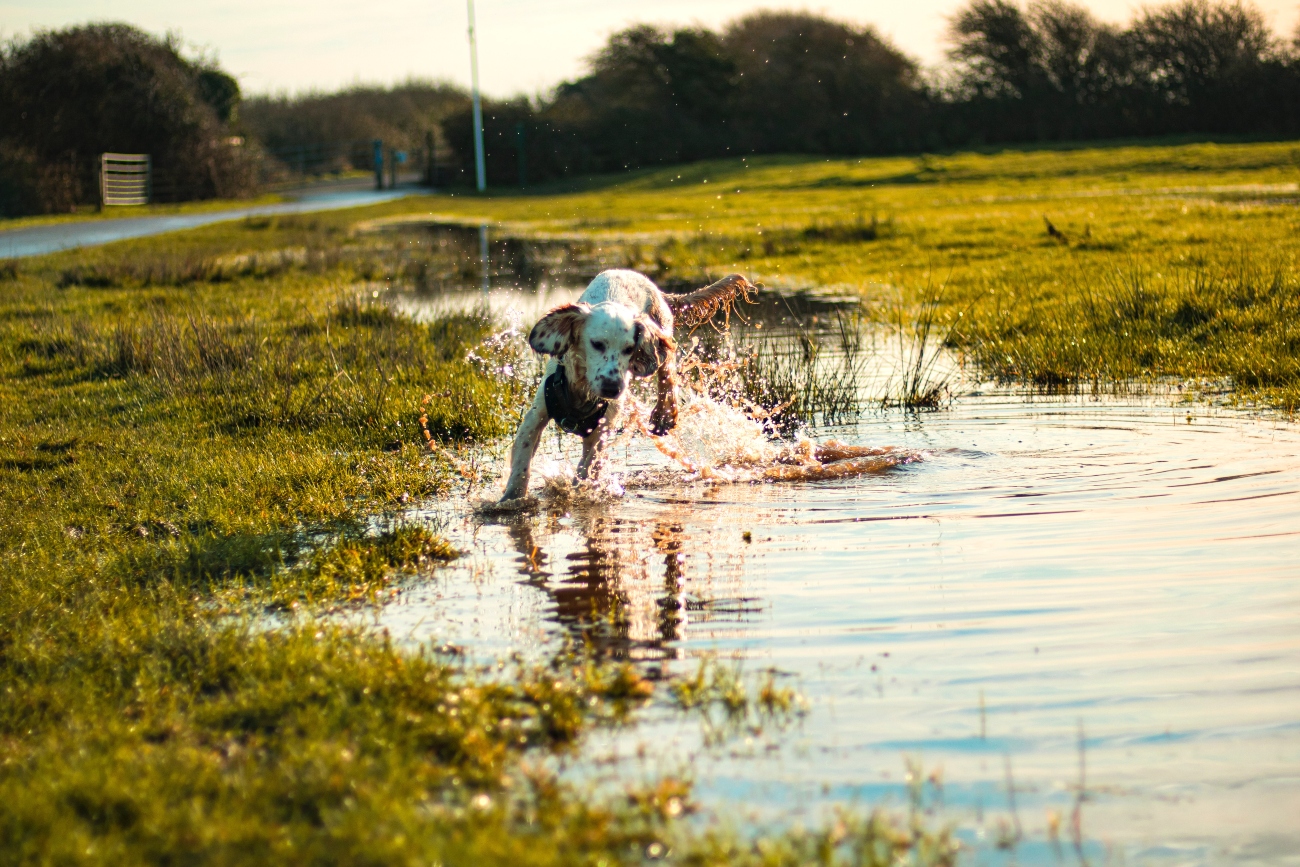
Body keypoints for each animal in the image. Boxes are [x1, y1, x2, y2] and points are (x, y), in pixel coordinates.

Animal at [499, 269, 759, 501]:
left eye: (628, 349)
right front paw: (512, 497)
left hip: (662, 333)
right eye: (596, 344)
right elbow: (523, 454)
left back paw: (664, 414)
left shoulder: (602, 428)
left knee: (667, 372)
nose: (612, 388)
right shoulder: (537, 413)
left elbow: (587, 467)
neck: (582, 391)